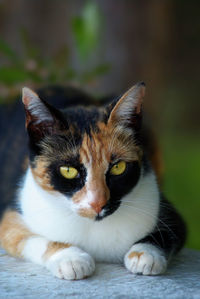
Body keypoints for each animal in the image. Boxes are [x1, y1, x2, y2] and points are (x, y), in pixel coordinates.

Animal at [0, 82, 186, 282]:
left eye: (118, 167)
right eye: (68, 170)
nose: (97, 203)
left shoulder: (167, 211)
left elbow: (166, 233)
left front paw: (144, 254)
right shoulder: (11, 216)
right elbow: (27, 237)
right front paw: (69, 258)